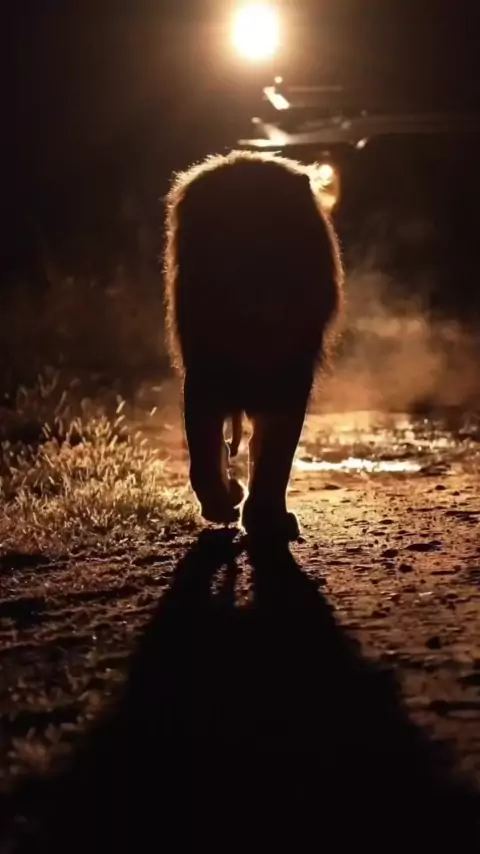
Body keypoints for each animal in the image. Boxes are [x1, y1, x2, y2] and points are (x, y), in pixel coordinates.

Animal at [164, 150, 343, 540]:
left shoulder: (289, 377)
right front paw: (227, 502)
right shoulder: (207, 373)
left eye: (271, 225)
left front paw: (263, 516)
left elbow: (273, 452)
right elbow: (206, 445)